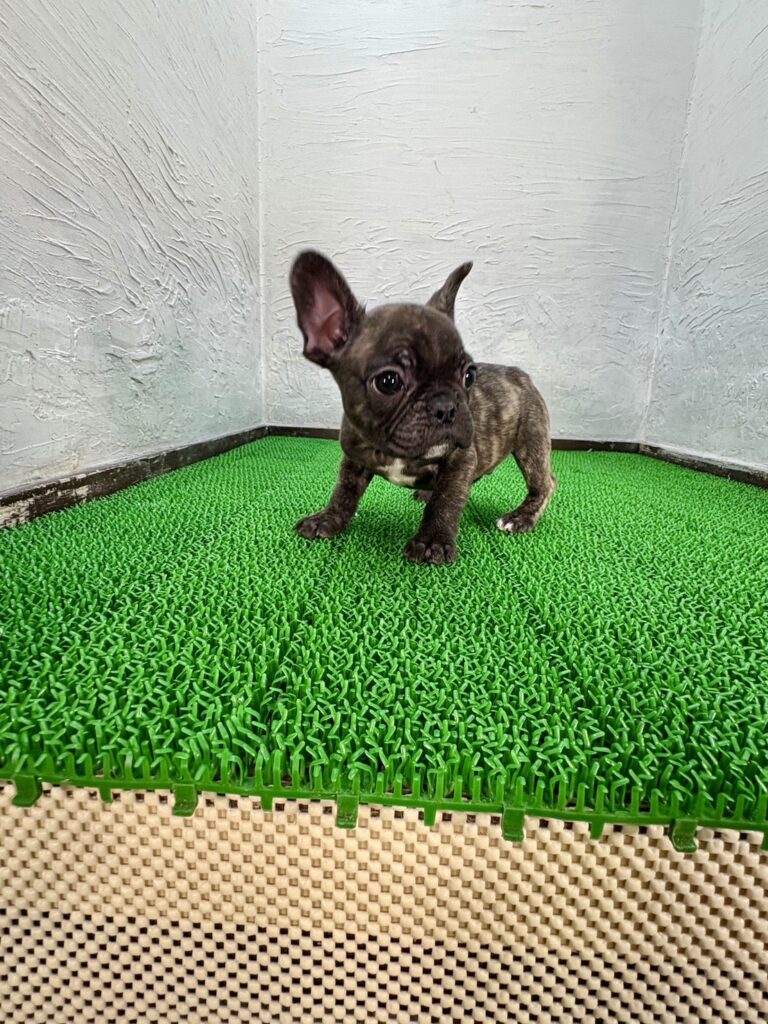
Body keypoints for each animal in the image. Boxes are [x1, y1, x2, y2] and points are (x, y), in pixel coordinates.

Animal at [289, 251, 555, 564]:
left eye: (469, 375)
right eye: (389, 381)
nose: (446, 407)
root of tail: (522, 376)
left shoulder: (461, 457)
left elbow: (447, 499)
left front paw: (432, 541)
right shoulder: (354, 456)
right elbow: (344, 490)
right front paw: (328, 519)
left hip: (531, 442)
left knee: (544, 483)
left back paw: (520, 518)